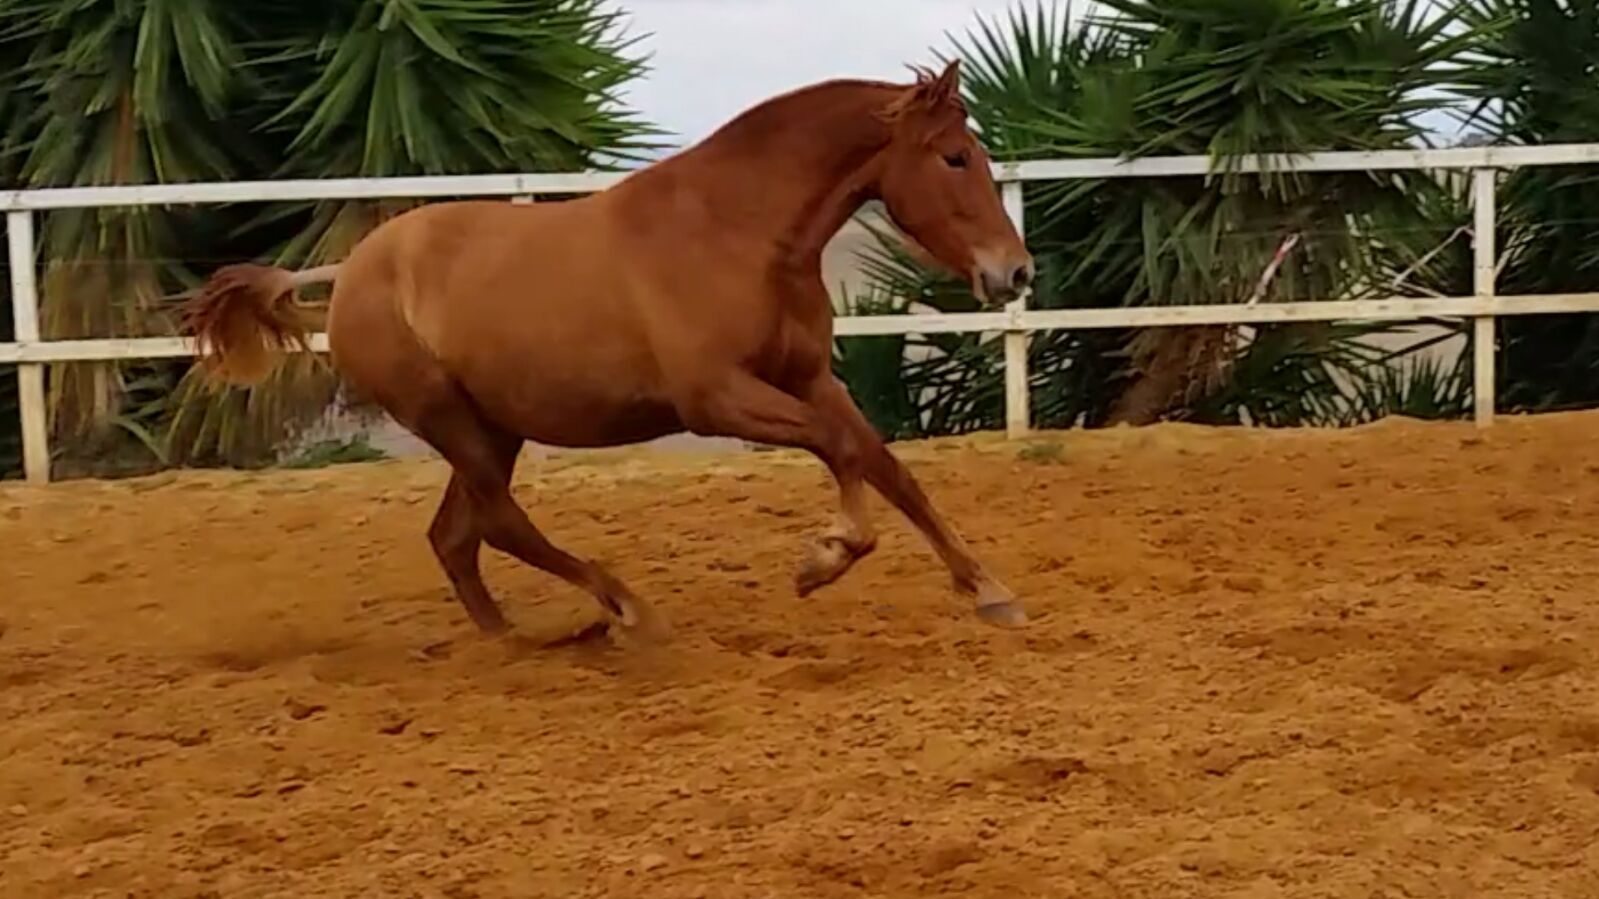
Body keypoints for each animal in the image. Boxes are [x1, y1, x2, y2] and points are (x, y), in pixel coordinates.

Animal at [181, 61, 1036, 636]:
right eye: (954, 157)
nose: (1015, 271)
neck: (735, 231)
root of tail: (349, 270)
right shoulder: (716, 397)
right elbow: (841, 449)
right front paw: (824, 557)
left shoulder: (808, 376)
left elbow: (887, 466)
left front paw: (990, 589)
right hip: (451, 420)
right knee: (497, 524)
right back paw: (624, 608)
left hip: (494, 426)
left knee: (457, 536)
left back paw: (517, 640)